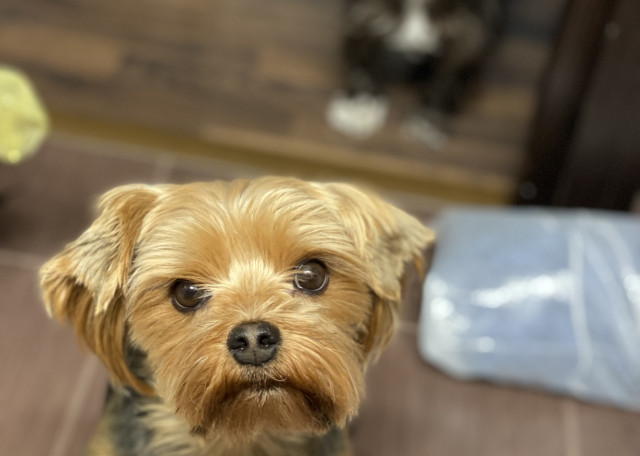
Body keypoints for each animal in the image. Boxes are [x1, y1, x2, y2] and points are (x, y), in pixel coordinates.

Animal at [327, 0, 503, 148]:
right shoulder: (364, 13)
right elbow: (363, 52)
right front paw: (360, 102)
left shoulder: (470, 29)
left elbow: (445, 79)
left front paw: (430, 119)